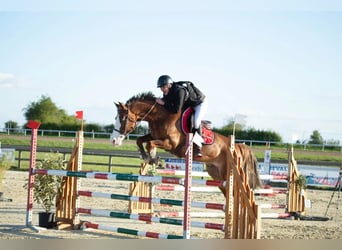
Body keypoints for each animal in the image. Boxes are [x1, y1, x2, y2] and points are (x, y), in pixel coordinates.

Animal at [111, 91, 264, 196]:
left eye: (123, 118)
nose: (113, 140)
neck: (160, 117)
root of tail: (236, 146)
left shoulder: (170, 144)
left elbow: (150, 144)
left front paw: (154, 158)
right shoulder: (155, 136)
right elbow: (141, 140)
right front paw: (147, 157)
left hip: (228, 172)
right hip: (215, 173)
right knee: (227, 192)